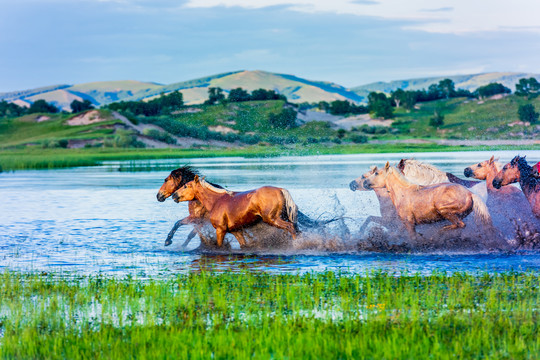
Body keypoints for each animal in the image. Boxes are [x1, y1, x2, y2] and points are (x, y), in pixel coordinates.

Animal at [360, 163, 492, 242]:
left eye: (376, 173)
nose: (365, 183)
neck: (403, 193)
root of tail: (471, 194)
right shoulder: (402, 223)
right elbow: (395, 234)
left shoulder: (409, 222)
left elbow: (412, 237)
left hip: (444, 210)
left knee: (460, 225)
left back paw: (439, 233)